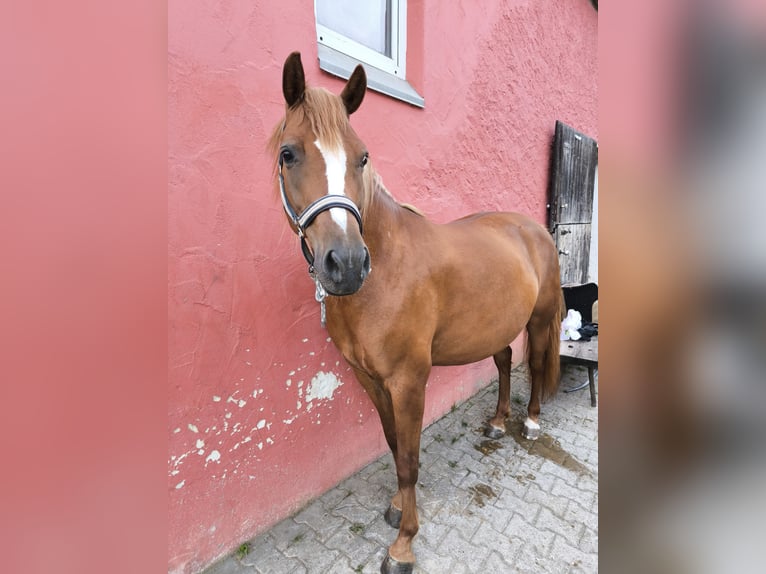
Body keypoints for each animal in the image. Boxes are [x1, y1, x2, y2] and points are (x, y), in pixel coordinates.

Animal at [270, 53, 564, 574]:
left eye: (362, 157)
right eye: (288, 153)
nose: (347, 264)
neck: (386, 269)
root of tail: (531, 229)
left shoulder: (409, 381)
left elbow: (409, 457)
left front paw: (404, 543)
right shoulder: (369, 378)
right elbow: (392, 444)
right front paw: (395, 508)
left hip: (539, 320)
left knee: (535, 362)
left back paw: (529, 422)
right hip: (495, 327)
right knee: (505, 362)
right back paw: (496, 421)